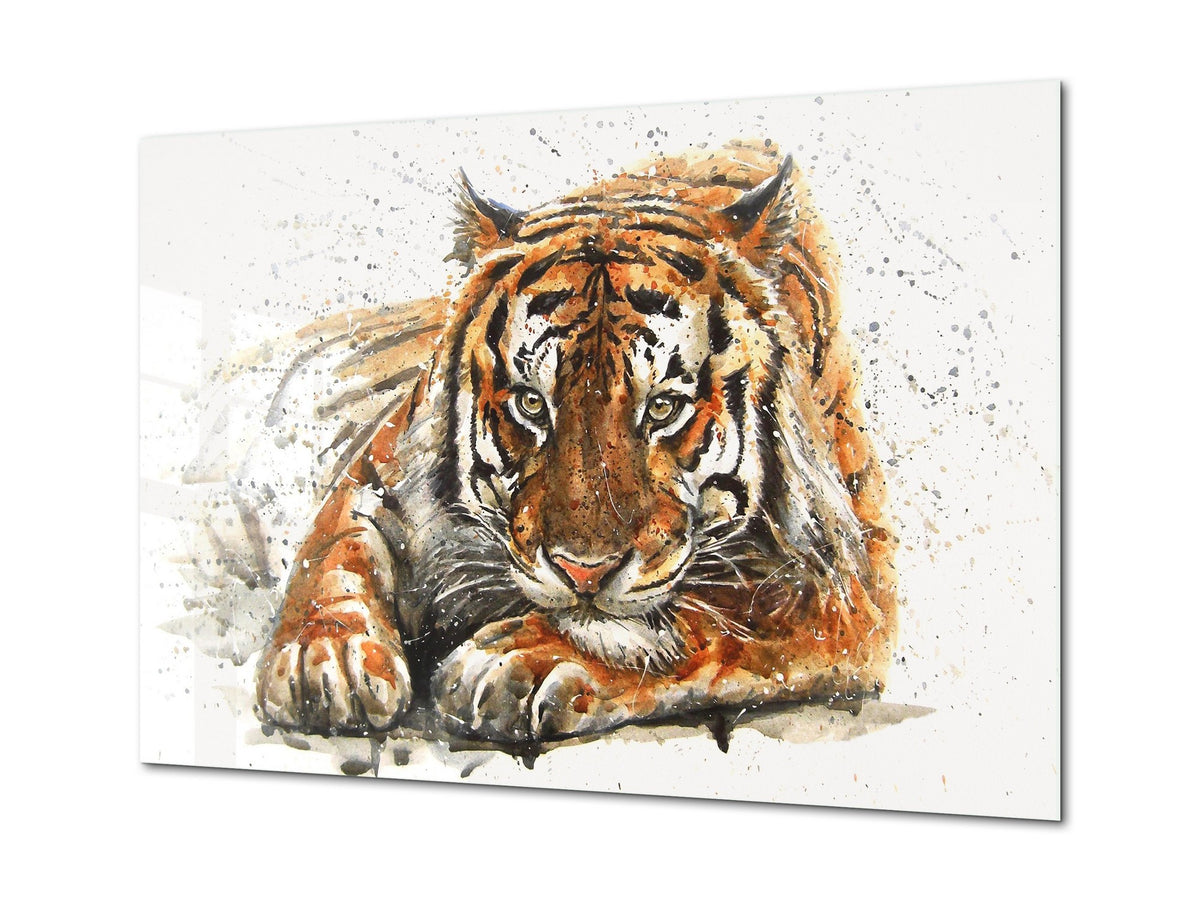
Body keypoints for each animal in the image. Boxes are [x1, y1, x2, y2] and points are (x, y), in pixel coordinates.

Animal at [255, 139, 898, 744]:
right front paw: (326, 657)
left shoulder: (847, 583)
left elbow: (720, 616)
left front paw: (519, 659)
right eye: (531, 403)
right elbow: (334, 548)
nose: (583, 574)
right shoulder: (380, 466)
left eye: (663, 407)